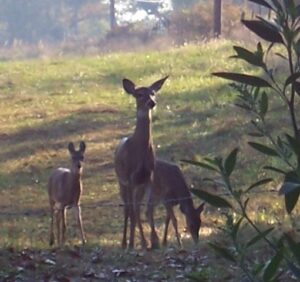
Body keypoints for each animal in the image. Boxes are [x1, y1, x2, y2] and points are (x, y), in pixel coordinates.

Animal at [114, 76, 168, 248]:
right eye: (139, 95)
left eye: (153, 93)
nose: (152, 102)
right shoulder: (130, 177)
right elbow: (132, 211)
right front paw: (134, 242)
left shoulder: (149, 176)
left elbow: (148, 209)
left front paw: (154, 241)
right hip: (121, 182)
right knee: (127, 208)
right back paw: (125, 242)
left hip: (139, 185)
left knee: (136, 207)